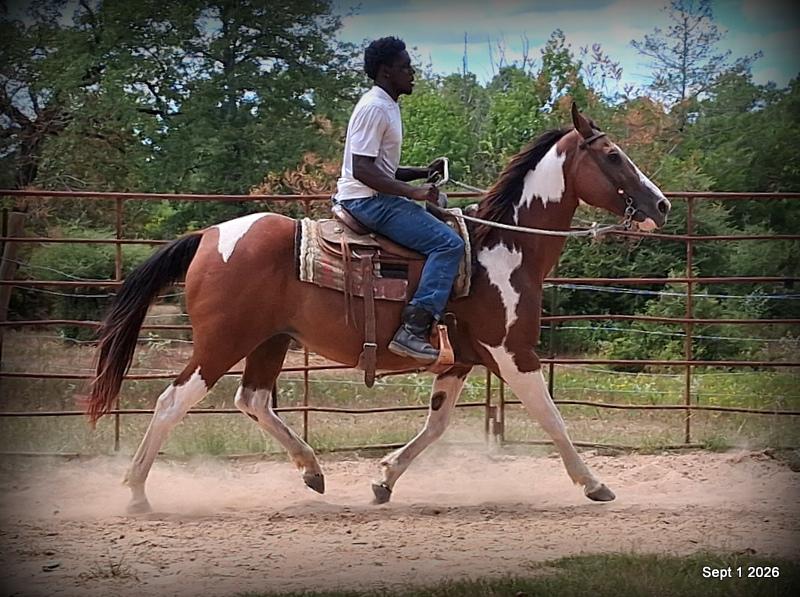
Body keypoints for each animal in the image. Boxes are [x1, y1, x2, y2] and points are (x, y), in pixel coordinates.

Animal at [87, 104, 670, 513]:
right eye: (613, 155)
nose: (661, 204)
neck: (503, 248)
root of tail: (210, 235)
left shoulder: (460, 360)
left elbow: (436, 425)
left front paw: (383, 480)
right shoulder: (513, 353)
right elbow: (551, 417)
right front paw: (595, 484)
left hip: (270, 341)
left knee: (252, 400)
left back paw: (312, 470)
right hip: (221, 343)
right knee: (172, 401)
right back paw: (136, 493)